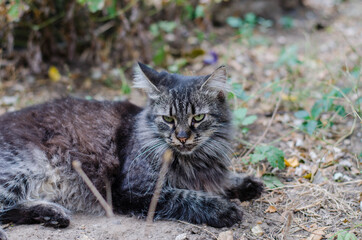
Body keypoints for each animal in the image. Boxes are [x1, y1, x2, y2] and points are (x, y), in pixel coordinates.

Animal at [0, 62, 262, 239]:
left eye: (198, 118)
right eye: (168, 119)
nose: (182, 137)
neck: (193, 159)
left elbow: (221, 181)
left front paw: (246, 184)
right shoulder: (132, 191)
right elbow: (185, 196)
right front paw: (224, 209)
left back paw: (52, 215)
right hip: (25, 169)